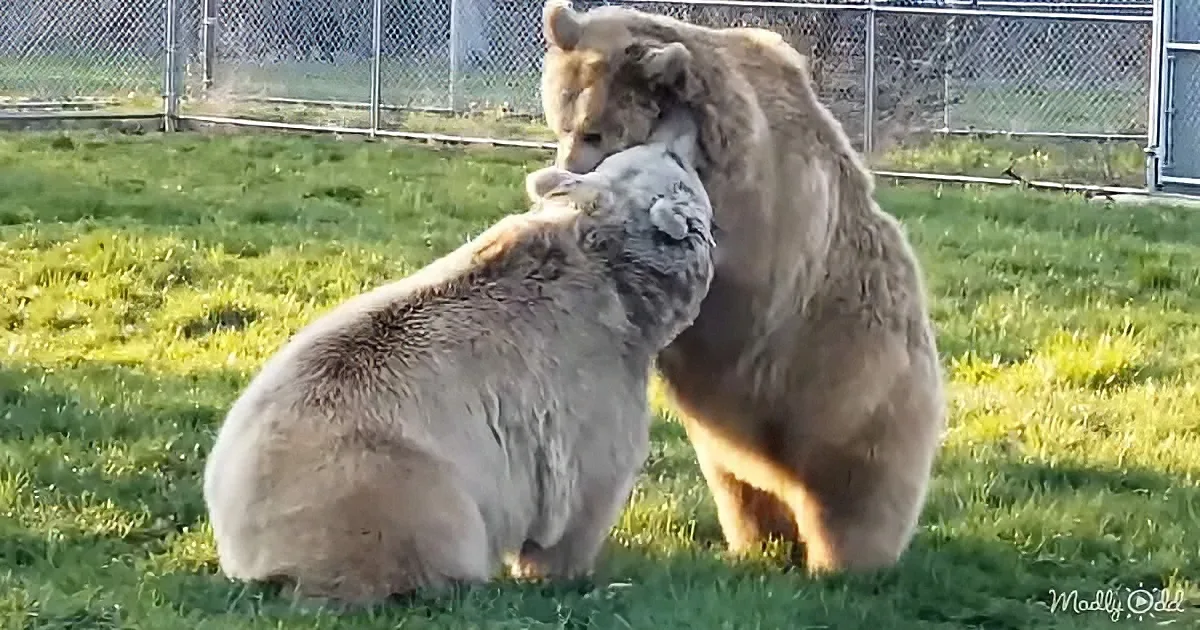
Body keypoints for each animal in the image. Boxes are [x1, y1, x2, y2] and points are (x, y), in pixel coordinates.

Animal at [201, 109, 717, 605]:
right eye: (674, 158)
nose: (682, 123)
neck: (624, 286)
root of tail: (239, 536)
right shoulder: (591, 373)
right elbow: (586, 489)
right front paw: (577, 575)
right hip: (389, 489)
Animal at [537, 0, 947, 575]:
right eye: (561, 122)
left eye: (595, 131)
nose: (564, 168)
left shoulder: (772, 216)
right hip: (732, 446)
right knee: (744, 493)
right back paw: (758, 544)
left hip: (853, 393)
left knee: (856, 497)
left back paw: (843, 561)